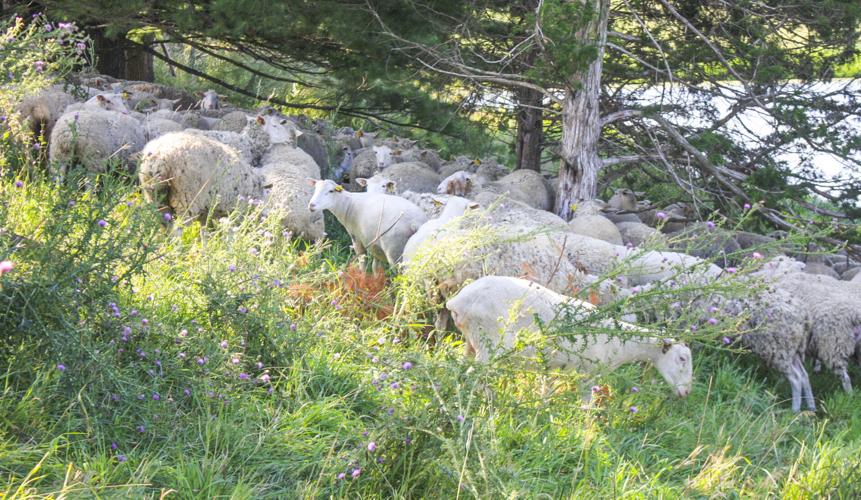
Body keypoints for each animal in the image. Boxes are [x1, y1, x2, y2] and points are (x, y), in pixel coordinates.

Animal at [445, 276, 693, 398]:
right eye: (682, 359)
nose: (686, 392)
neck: (620, 344)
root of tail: (457, 301)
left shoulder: (554, 367)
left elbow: (546, 391)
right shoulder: (589, 374)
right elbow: (586, 404)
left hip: (471, 342)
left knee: (461, 369)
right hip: (490, 343)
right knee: (475, 376)